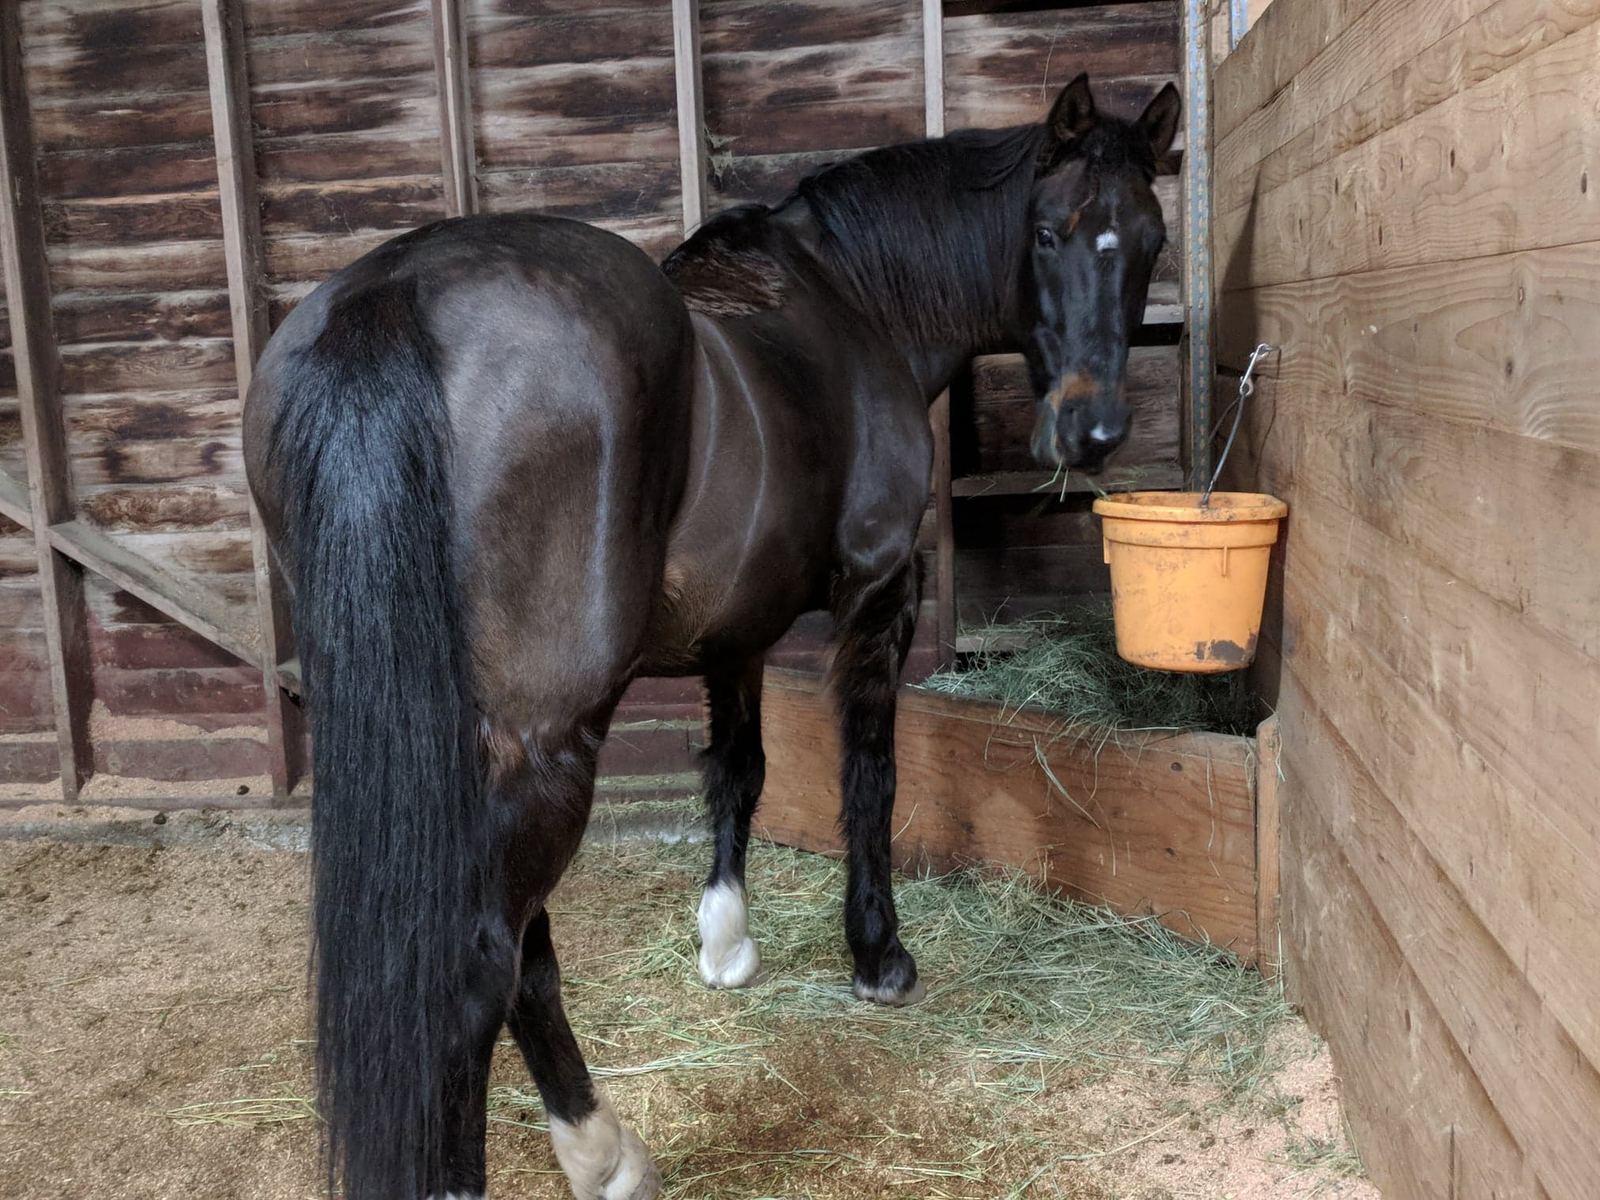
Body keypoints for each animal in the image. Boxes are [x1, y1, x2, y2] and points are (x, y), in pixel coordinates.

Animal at [242, 72, 1179, 1200]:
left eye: (1152, 238)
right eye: (1047, 232)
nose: (1093, 430)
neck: (849, 301)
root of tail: (392, 295)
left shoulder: (734, 633)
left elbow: (739, 765)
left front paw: (725, 941)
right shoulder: (881, 589)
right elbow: (868, 773)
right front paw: (878, 957)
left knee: (520, 948)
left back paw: (600, 1151)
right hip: (544, 745)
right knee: (481, 963)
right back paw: (593, 1149)